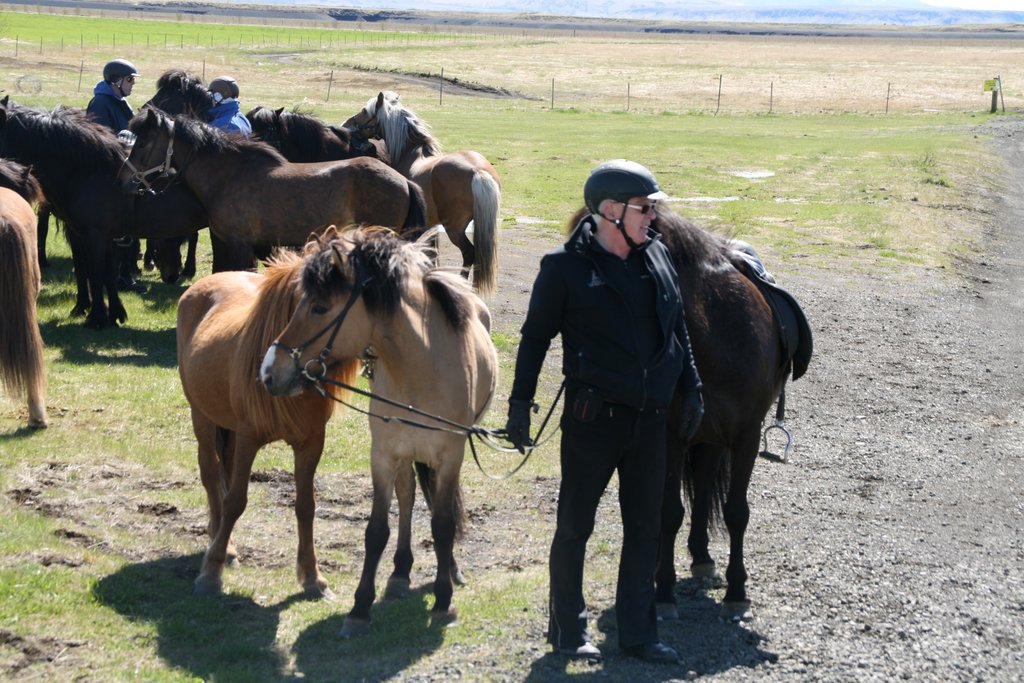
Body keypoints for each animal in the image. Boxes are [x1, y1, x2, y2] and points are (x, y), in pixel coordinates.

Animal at [0, 97, 208, 328]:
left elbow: (95, 272)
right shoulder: (96, 235)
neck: (91, 171)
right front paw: (113, 312)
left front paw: (97, 316)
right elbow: (105, 272)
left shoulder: (94, 235)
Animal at [176, 242, 364, 597]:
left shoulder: (311, 443)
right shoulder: (250, 436)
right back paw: (224, 545)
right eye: (310, 306)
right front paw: (212, 571)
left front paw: (312, 576)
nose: (269, 375)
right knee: (211, 473)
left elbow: (306, 505)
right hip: (202, 417)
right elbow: (235, 500)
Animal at [259, 227, 498, 636]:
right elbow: (376, 531)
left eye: (320, 307)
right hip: (404, 455)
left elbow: (443, 524)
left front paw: (443, 600)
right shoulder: (384, 456)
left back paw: (449, 571)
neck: (421, 370)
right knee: (409, 496)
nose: (269, 372)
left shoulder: (450, 456)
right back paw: (401, 573)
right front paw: (359, 608)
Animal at [344, 91, 501, 295]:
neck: (411, 151)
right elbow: (432, 254)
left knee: (468, 253)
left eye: (364, 111)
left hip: (454, 229)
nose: (346, 125)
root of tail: (477, 171)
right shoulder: (431, 224)